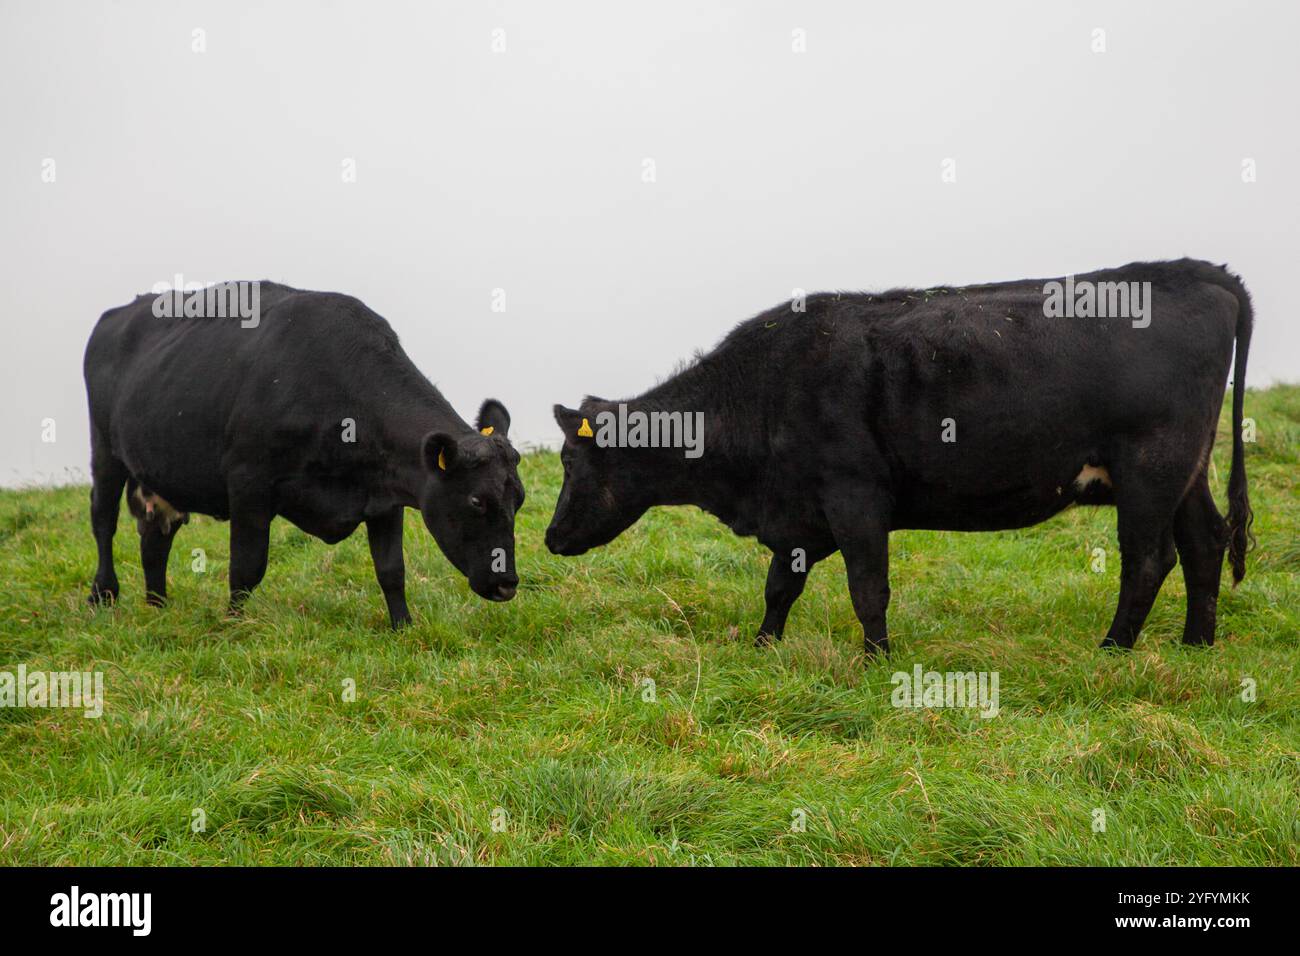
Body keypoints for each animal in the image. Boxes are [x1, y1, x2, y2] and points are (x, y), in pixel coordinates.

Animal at [84, 281, 524, 627]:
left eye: (518, 500)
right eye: (476, 501)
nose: (507, 584)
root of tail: (121, 312)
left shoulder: (385, 496)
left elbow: (391, 570)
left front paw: (404, 627)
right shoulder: (248, 482)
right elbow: (246, 567)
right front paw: (233, 625)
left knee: (155, 536)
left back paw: (157, 605)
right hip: (105, 449)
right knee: (103, 520)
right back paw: (103, 594)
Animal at [546, 259, 1253, 657]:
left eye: (571, 465)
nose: (550, 538)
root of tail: (1198, 271)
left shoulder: (854, 496)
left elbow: (868, 587)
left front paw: (875, 660)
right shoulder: (799, 513)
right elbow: (780, 585)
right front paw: (762, 647)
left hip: (1150, 468)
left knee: (1150, 559)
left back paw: (1111, 650)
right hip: (1186, 470)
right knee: (1205, 541)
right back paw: (1196, 646)